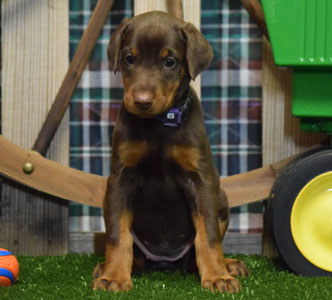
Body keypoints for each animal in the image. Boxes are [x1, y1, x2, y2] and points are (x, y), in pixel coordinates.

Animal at [92, 11, 248, 292]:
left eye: (170, 61)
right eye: (129, 58)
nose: (141, 102)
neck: (159, 124)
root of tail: (165, 260)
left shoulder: (200, 180)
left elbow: (208, 236)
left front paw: (217, 277)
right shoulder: (121, 179)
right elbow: (117, 235)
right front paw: (114, 277)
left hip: (222, 199)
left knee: (196, 254)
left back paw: (228, 265)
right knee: (134, 252)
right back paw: (107, 267)